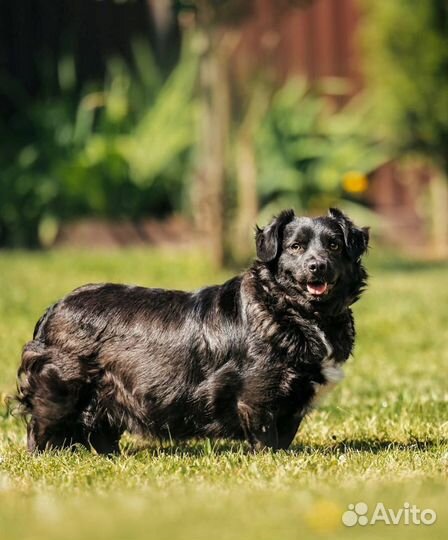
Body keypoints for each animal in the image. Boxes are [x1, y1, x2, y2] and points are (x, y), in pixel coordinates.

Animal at [16, 209, 368, 454]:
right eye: (295, 247)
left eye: (334, 245)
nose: (317, 266)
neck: (295, 312)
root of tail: (53, 309)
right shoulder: (257, 395)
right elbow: (267, 439)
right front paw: (272, 462)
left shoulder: (294, 402)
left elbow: (286, 435)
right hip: (61, 388)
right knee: (40, 428)